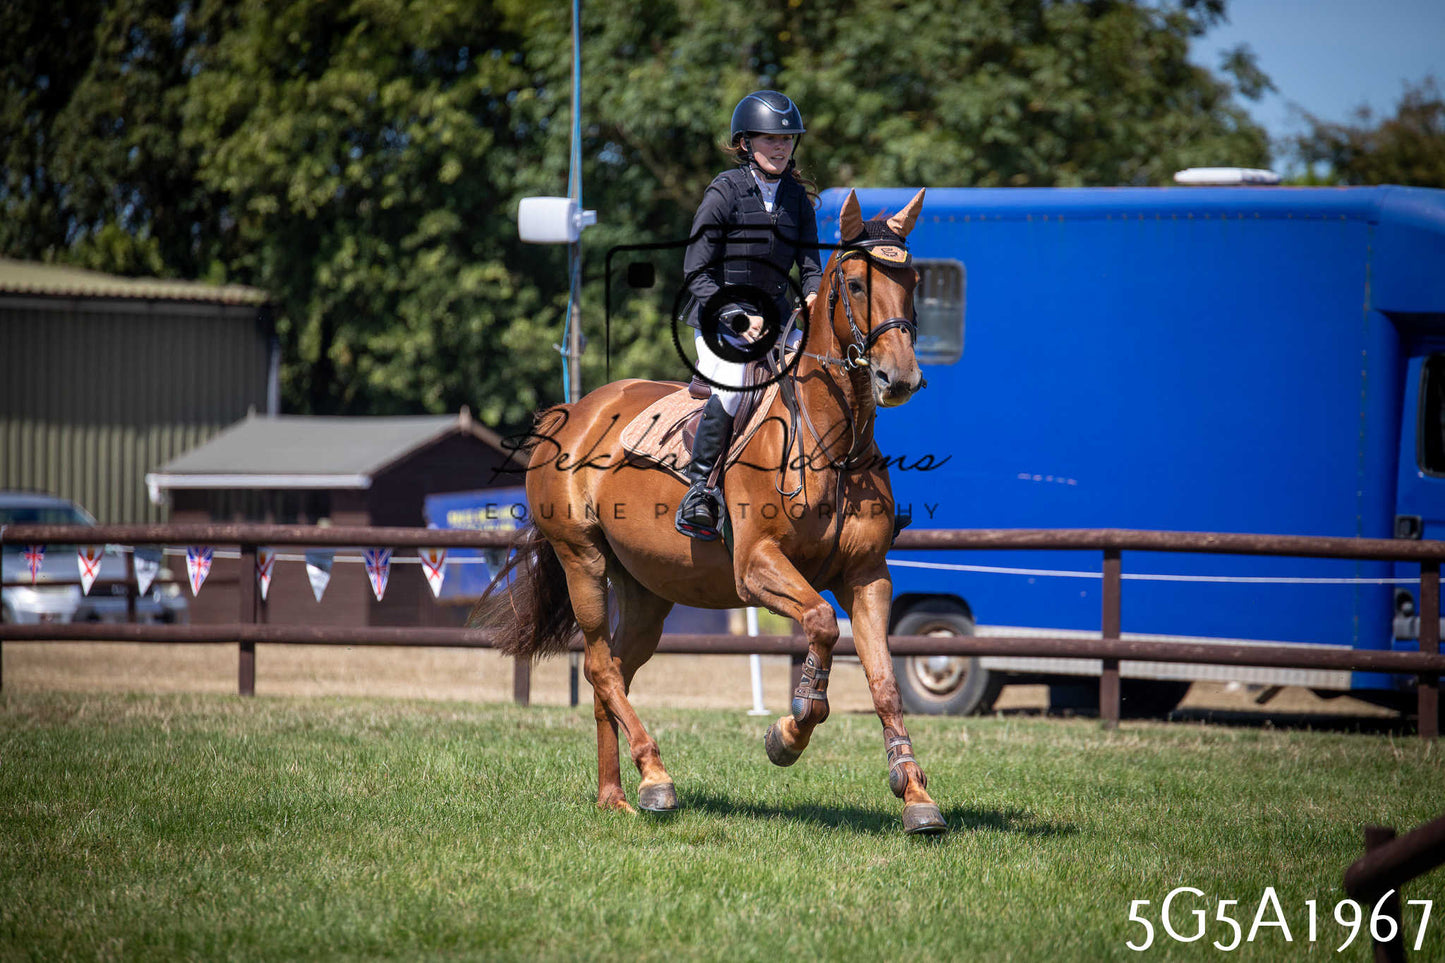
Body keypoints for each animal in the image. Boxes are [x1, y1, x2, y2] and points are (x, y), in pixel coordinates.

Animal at [475, 188, 946, 835]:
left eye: (913, 280)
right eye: (854, 283)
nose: (898, 378)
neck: (832, 443)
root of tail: (571, 412)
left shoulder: (867, 576)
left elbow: (884, 684)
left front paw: (916, 794)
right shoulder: (757, 568)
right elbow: (821, 625)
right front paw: (789, 731)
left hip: (647, 590)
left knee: (613, 670)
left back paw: (615, 794)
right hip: (583, 562)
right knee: (599, 666)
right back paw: (656, 777)